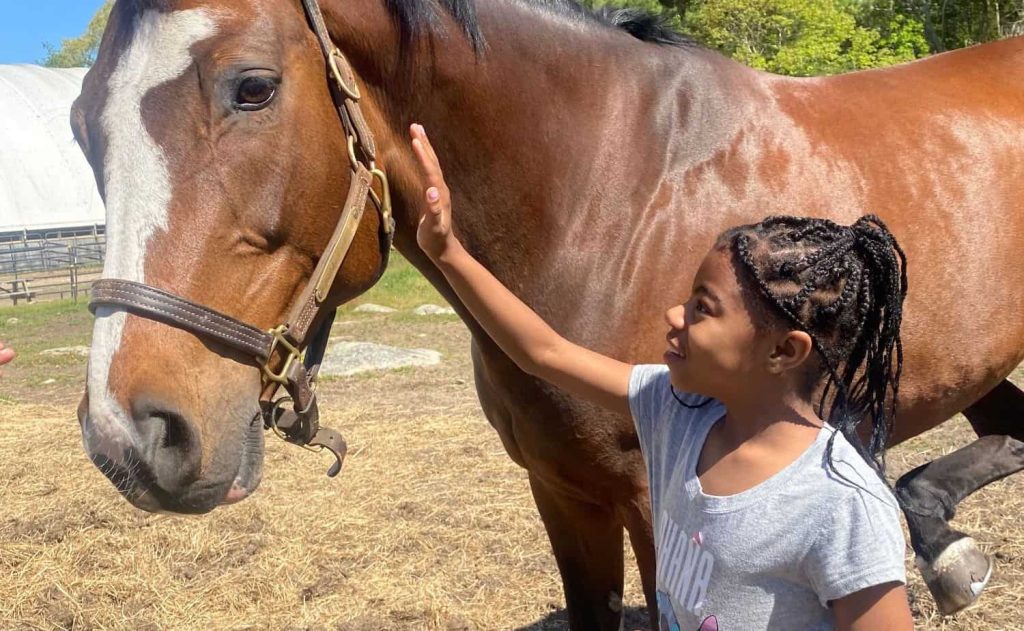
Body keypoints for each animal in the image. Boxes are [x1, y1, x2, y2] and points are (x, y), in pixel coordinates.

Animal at [72, 2, 1024, 626]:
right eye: (83, 123)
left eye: (253, 88)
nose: (129, 435)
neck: (610, 191)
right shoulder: (564, 494)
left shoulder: (656, 504)